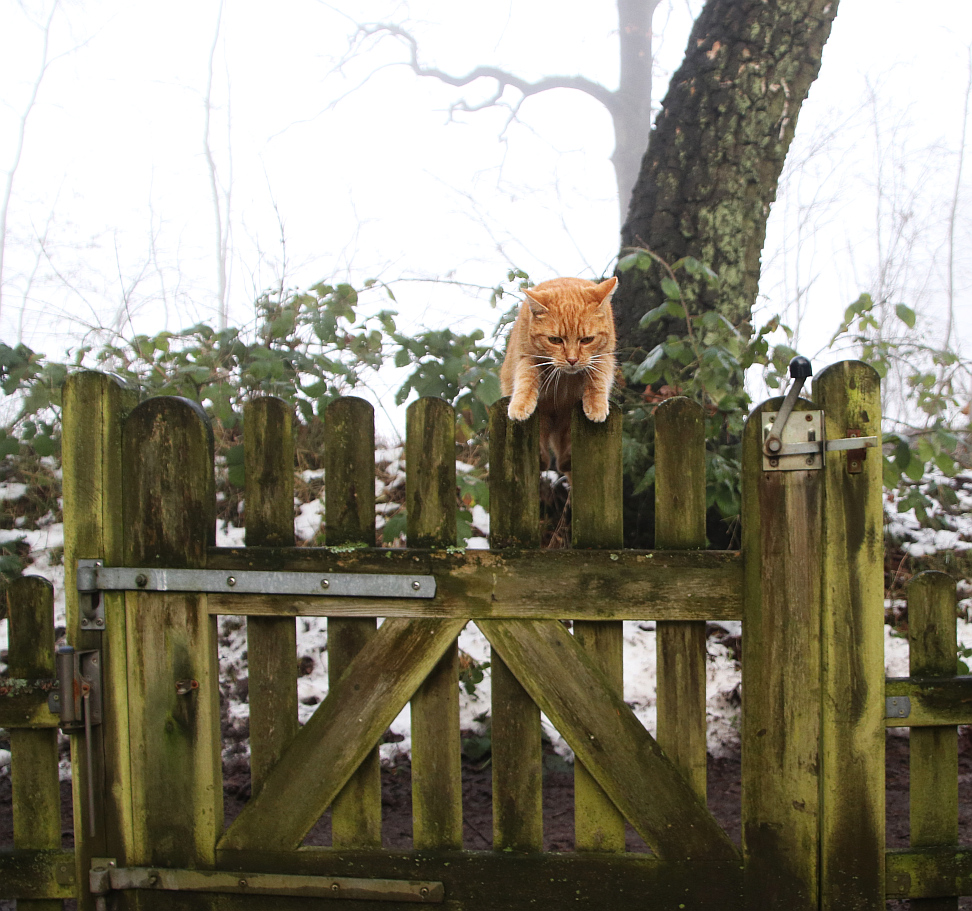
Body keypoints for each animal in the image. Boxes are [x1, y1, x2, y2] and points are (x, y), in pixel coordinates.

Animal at [502, 274, 616, 474]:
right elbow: (526, 378)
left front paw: (596, 405)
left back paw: (566, 460)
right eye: (555, 340)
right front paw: (520, 405)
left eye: (587, 340)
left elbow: (598, 379)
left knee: (564, 458)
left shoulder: (604, 356)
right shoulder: (527, 357)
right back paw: (542, 459)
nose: (572, 360)